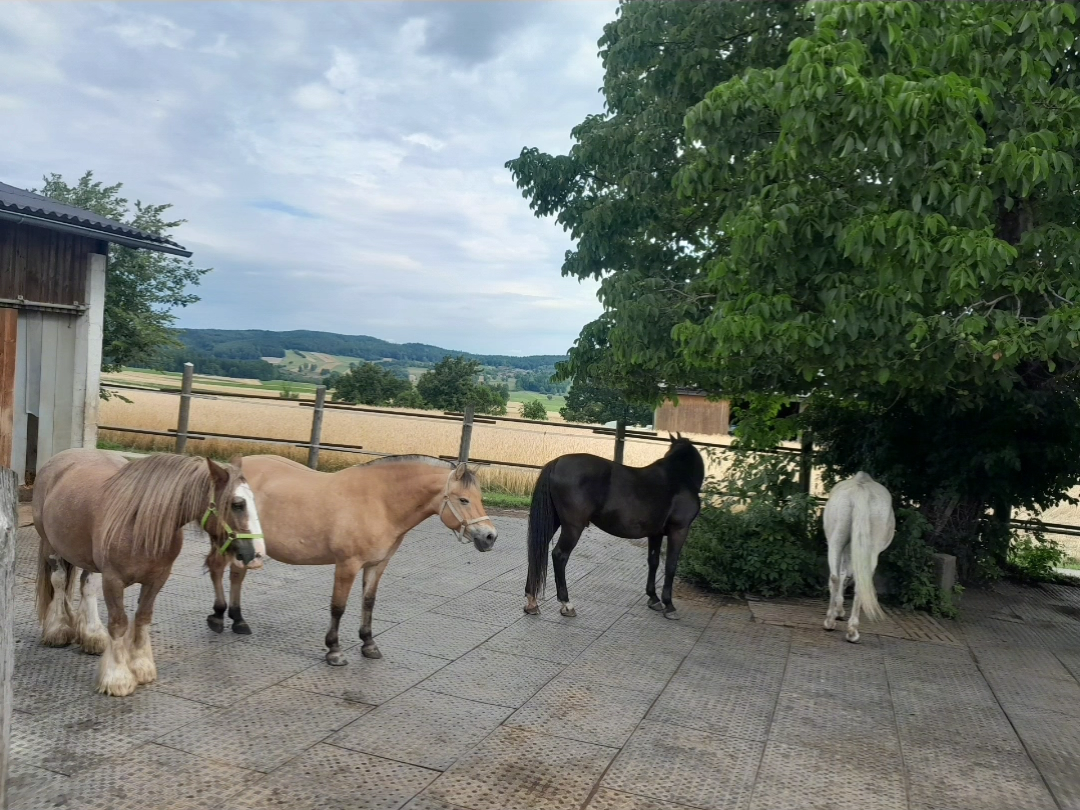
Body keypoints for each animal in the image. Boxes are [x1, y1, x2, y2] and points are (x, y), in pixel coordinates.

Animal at [33, 449, 265, 696]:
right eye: (237, 504)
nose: (258, 554)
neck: (139, 522)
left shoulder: (157, 579)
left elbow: (143, 617)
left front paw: (141, 666)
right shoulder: (113, 580)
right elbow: (119, 623)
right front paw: (117, 677)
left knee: (87, 586)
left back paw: (92, 634)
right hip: (51, 547)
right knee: (59, 582)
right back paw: (58, 630)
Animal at [205, 454, 498, 666]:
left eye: (479, 498)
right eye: (464, 499)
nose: (490, 536)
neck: (380, 502)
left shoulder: (377, 565)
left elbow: (368, 602)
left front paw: (368, 644)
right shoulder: (348, 565)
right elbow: (338, 607)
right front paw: (334, 650)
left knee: (236, 575)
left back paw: (238, 620)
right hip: (226, 541)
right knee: (217, 569)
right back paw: (218, 616)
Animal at [524, 435, 705, 620]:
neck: (679, 476)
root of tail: (556, 462)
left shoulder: (656, 533)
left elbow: (653, 562)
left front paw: (654, 598)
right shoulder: (679, 530)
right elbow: (671, 565)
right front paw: (669, 605)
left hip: (553, 521)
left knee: (538, 549)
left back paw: (532, 603)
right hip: (572, 527)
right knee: (559, 555)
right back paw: (567, 604)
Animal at [822, 471, 896, 643]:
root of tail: (860, 489)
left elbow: (844, 575)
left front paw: (839, 611)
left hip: (836, 541)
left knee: (836, 577)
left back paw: (836, 624)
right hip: (868, 550)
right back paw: (847, 629)